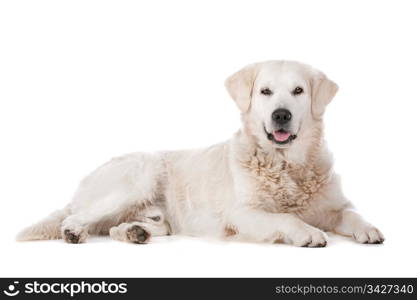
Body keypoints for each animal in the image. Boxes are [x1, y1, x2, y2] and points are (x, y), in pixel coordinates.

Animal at [17, 60, 384, 246]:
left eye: (298, 91)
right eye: (265, 92)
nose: (281, 115)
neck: (287, 163)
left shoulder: (333, 205)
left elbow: (351, 212)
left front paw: (368, 229)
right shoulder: (242, 213)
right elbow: (284, 217)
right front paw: (308, 232)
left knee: (120, 227)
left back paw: (135, 232)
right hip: (140, 173)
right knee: (74, 217)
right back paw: (74, 232)